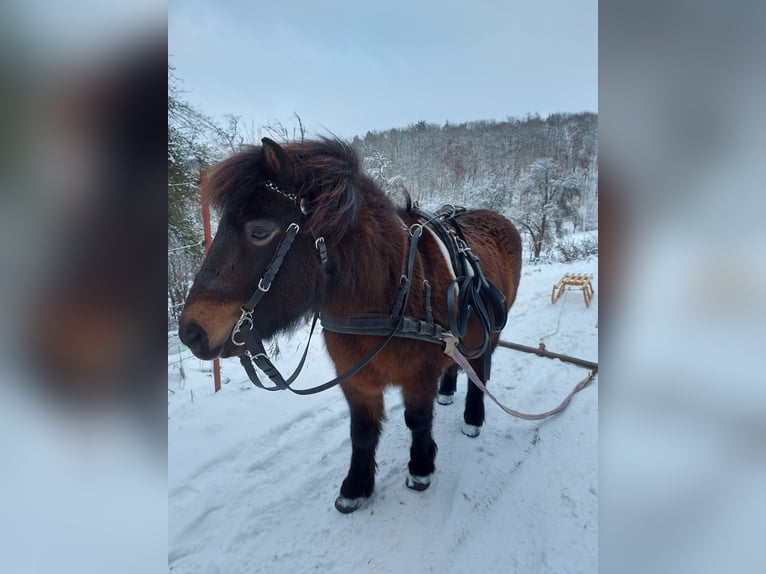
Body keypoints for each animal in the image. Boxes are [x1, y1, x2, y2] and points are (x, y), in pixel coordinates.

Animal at [178, 137, 520, 516]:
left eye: (259, 232)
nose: (190, 332)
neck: (390, 297)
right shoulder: (356, 382)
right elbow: (362, 433)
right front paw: (356, 487)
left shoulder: (417, 378)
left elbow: (417, 421)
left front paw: (420, 469)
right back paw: (447, 391)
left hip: (490, 335)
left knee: (479, 371)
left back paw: (473, 417)